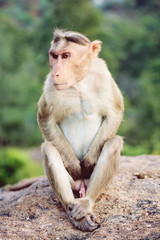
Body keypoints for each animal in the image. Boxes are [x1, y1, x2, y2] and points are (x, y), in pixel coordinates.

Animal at [37, 29, 124, 232]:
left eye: (66, 56)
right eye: (54, 56)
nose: (56, 72)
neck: (79, 83)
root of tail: (82, 185)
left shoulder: (104, 76)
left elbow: (115, 112)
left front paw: (90, 162)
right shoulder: (50, 86)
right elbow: (45, 119)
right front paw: (76, 167)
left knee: (113, 143)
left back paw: (86, 203)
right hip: (73, 184)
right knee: (49, 149)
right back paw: (73, 208)